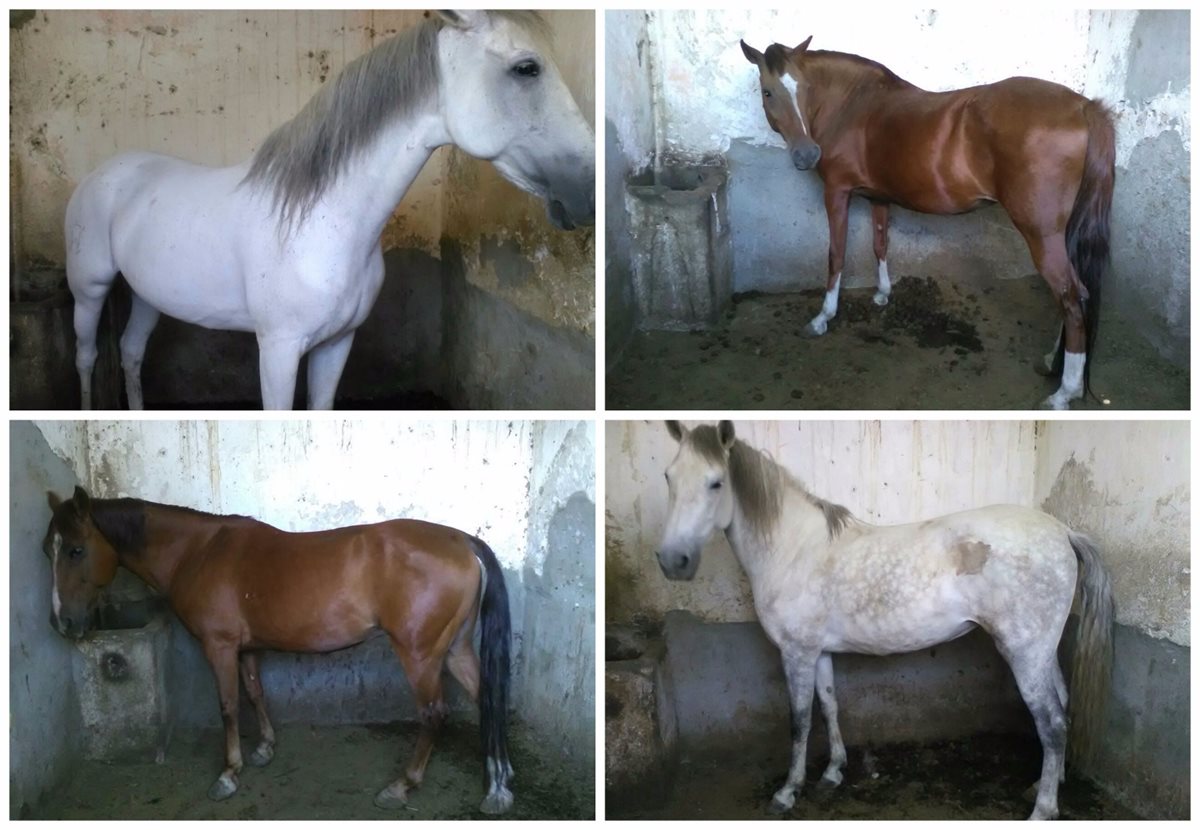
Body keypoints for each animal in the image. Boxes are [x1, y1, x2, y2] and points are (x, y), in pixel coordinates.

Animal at [39, 482, 511, 815]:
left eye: (76, 550)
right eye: (49, 551)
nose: (62, 622)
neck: (198, 551)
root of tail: (462, 541)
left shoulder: (219, 646)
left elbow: (229, 705)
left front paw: (229, 774)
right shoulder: (247, 647)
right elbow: (254, 692)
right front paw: (264, 749)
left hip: (420, 655)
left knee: (434, 714)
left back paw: (403, 785)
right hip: (455, 649)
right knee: (487, 699)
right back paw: (498, 786)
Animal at [64, 9, 590, 412]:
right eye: (527, 68)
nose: (587, 191)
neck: (319, 223)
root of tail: (101, 174)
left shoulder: (337, 344)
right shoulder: (277, 349)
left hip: (148, 295)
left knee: (131, 353)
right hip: (89, 290)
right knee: (87, 356)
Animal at [657, 417, 1113, 820]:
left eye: (716, 482)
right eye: (668, 477)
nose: (671, 561)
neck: (795, 549)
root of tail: (1062, 531)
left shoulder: (796, 653)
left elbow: (799, 720)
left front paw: (788, 792)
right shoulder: (818, 652)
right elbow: (830, 704)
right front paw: (833, 773)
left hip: (1024, 652)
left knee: (1052, 723)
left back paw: (1044, 808)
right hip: (1041, 652)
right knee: (1062, 708)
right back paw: (1044, 785)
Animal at [739, 38, 1113, 407]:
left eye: (803, 88)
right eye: (768, 91)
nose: (807, 154)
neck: (853, 106)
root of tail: (1083, 106)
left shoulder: (837, 192)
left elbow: (836, 255)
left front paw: (822, 318)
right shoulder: (879, 197)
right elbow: (880, 244)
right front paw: (882, 293)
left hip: (1041, 234)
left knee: (1070, 297)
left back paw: (1064, 392)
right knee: (1076, 294)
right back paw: (1053, 361)